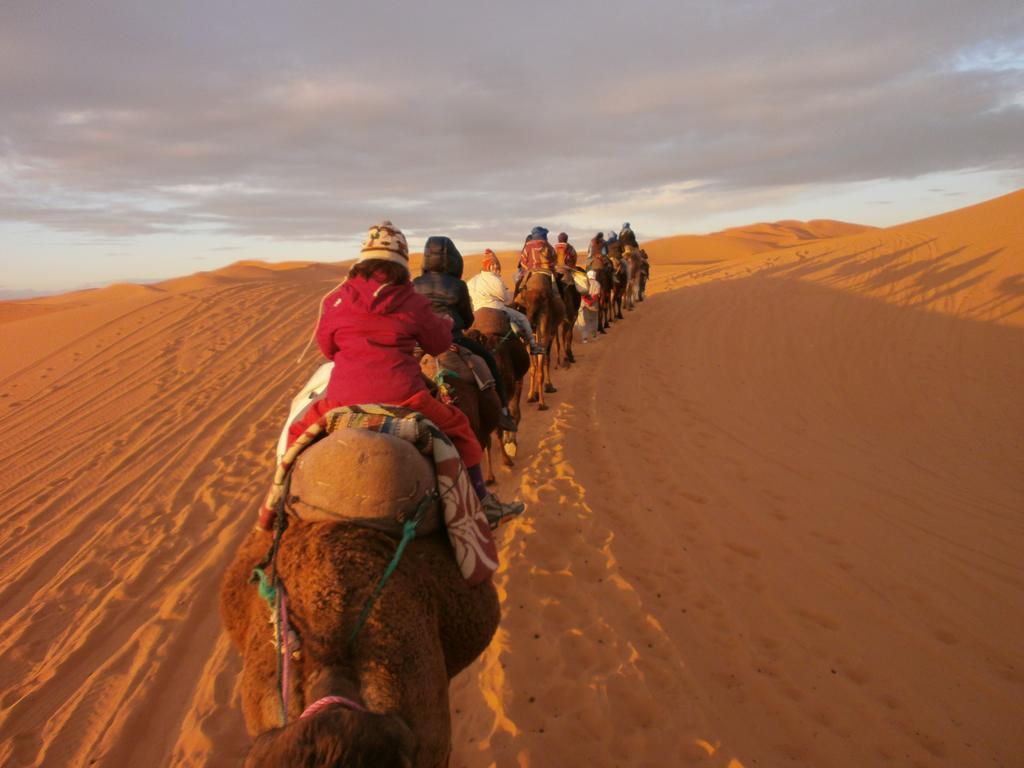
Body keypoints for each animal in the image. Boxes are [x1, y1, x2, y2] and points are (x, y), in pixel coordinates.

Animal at [516, 272, 565, 411]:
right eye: (526, 306)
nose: (531, 323)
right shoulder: (549, 334)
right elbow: (543, 363)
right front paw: (547, 388)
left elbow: (536, 367)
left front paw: (533, 395)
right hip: (544, 334)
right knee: (541, 367)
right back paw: (542, 403)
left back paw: (537, 399)